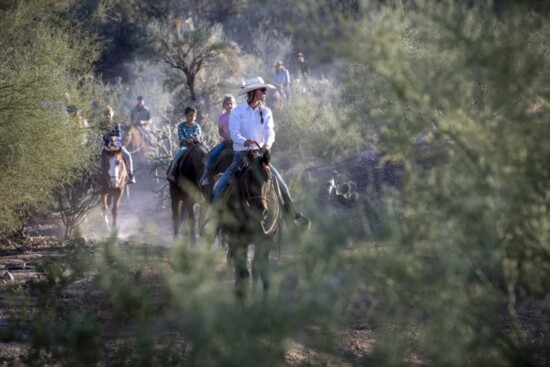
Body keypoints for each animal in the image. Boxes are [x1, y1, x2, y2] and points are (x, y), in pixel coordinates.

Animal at [220, 150, 282, 302]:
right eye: (249, 177)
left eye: (268, 178)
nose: (261, 210)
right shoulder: (236, 239)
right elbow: (243, 271)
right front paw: (243, 298)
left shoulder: (267, 240)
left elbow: (259, 269)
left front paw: (262, 299)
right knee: (239, 267)